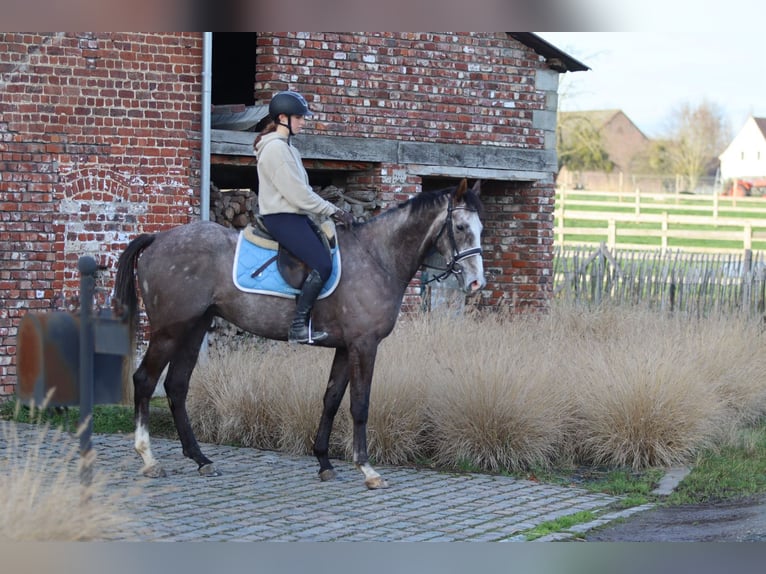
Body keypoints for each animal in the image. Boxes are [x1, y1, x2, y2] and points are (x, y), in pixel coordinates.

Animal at [113, 178, 485, 489]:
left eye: (481, 228)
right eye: (461, 227)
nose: (476, 283)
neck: (377, 258)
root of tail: (158, 238)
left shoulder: (345, 348)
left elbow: (331, 399)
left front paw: (324, 462)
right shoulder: (364, 345)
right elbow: (360, 404)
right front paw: (367, 469)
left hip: (194, 327)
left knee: (176, 386)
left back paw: (201, 459)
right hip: (170, 330)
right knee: (145, 380)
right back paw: (149, 459)